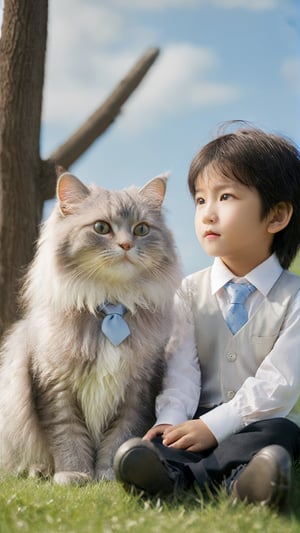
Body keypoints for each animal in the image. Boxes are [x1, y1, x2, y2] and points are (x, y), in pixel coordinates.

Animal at [0, 172, 180, 484]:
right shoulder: (55, 386)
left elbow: (119, 439)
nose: (126, 245)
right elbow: (68, 437)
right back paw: (37, 471)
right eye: (101, 228)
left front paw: (109, 475)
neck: (111, 307)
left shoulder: (137, 390)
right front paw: (76, 475)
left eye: (142, 229)